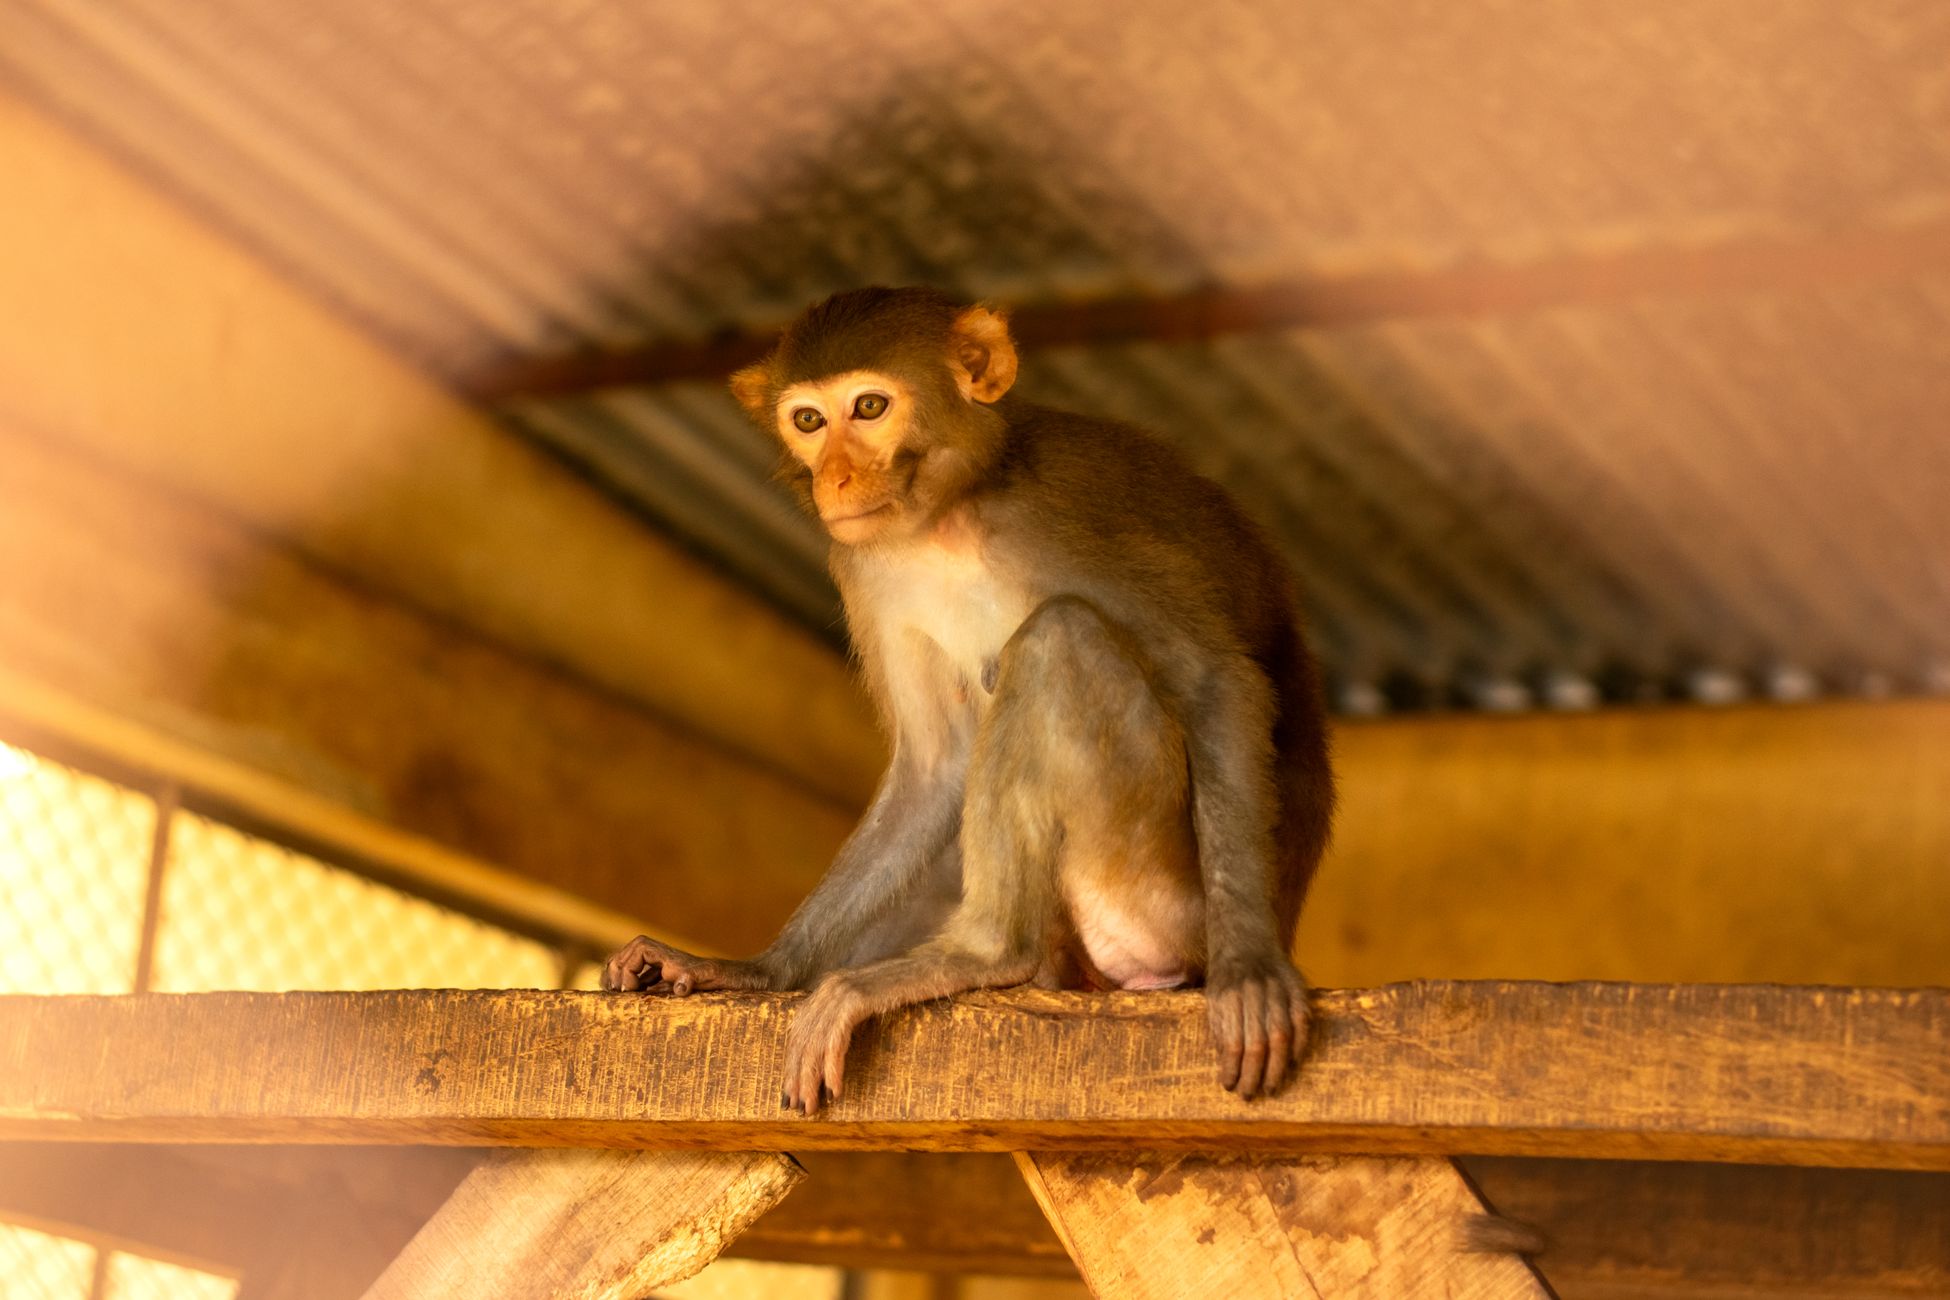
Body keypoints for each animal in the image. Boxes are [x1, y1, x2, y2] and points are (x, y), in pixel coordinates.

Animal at [603, 287, 1334, 1115]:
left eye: (869, 406)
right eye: (809, 421)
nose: (836, 480)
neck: (945, 520)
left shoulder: (1065, 515)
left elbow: (1214, 678)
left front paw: (1252, 970)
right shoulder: (865, 565)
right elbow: (934, 766)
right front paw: (760, 970)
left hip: (1161, 904)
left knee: (1059, 639)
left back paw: (986, 952)